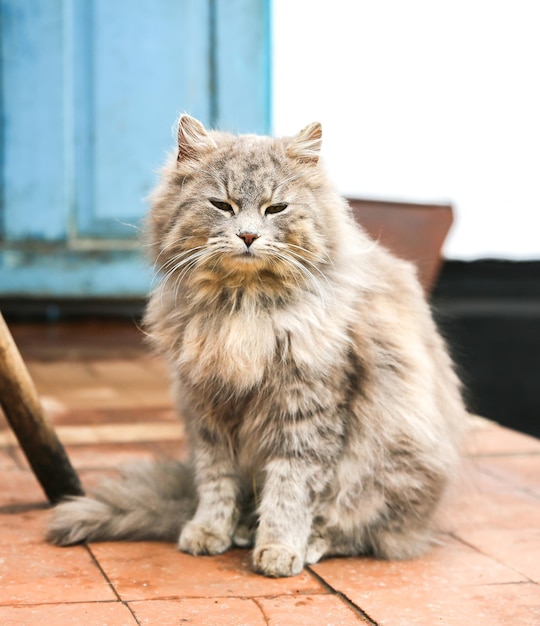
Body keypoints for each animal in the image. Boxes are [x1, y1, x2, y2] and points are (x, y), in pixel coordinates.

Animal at [47, 113, 468, 576]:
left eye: (275, 208)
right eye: (222, 205)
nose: (248, 235)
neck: (242, 309)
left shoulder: (307, 411)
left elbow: (291, 489)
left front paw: (279, 549)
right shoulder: (209, 411)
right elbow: (216, 482)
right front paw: (208, 531)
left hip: (392, 466)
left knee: (358, 530)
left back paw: (306, 543)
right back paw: (244, 530)